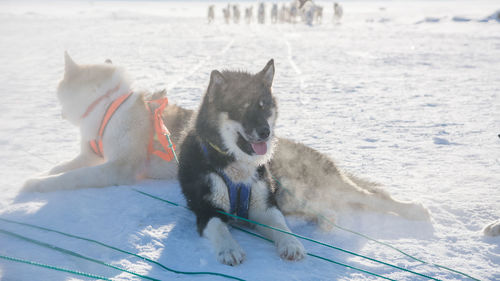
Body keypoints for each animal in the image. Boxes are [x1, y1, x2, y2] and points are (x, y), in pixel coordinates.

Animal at [178, 59, 306, 264]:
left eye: (264, 106)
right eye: (241, 108)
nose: (265, 131)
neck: (237, 163)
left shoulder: (264, 205)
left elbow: (279, 224)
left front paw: (291, 243)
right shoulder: (208, 209)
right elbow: (219, 227)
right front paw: (229, 249)